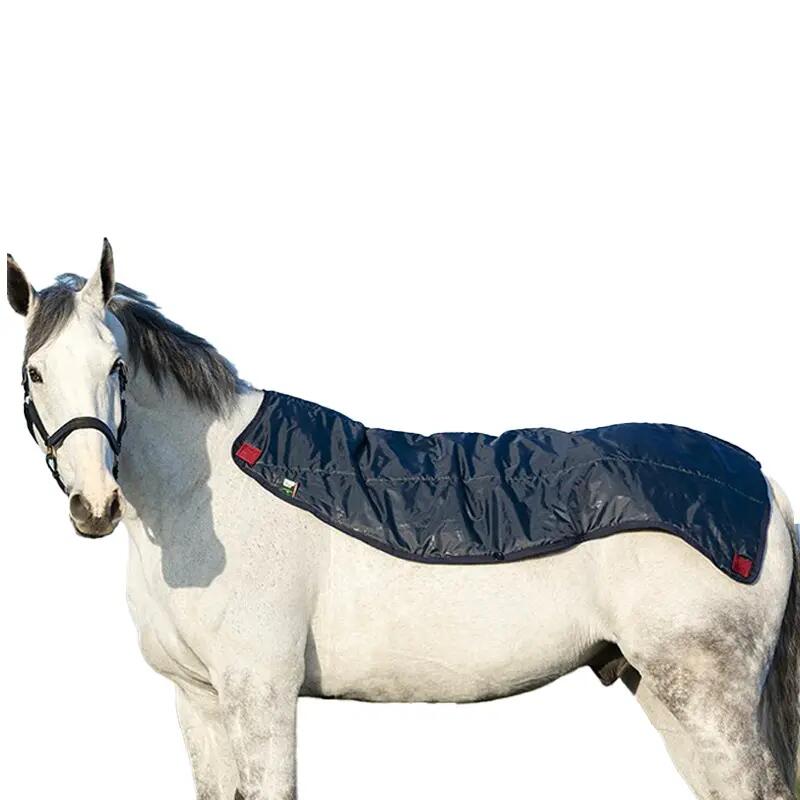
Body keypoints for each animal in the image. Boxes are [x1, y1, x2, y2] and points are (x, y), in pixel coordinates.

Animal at [6, 241, 799, 800]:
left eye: (117, 368)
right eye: (35, 372)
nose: (95, 506)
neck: (205, 500)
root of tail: (761, 482)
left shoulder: (260, 692)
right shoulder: (197, 701)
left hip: (709, 697)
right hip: (662, 690)